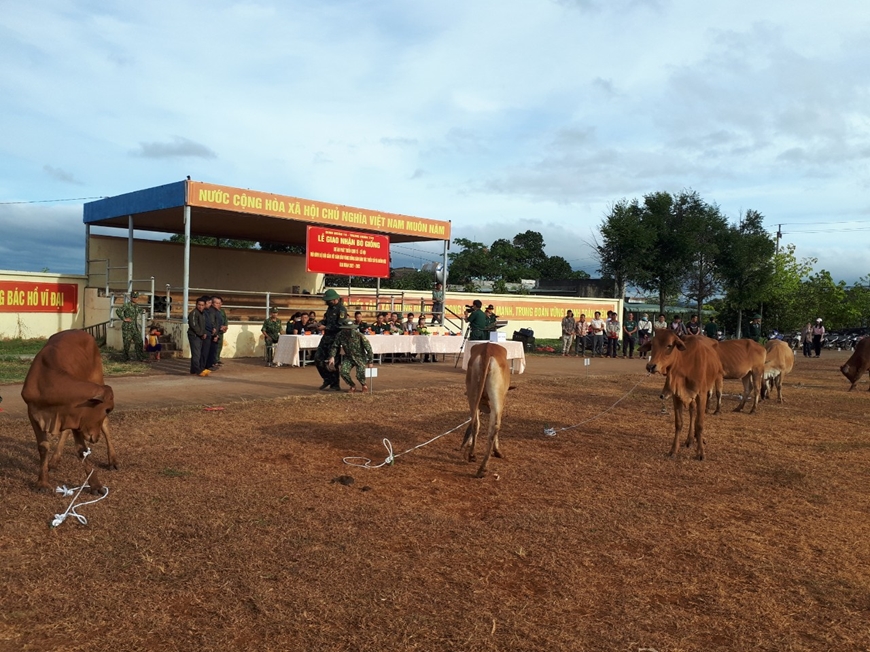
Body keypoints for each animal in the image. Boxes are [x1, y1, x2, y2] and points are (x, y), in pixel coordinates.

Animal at [21, 332, 116, 494]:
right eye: (107, 409)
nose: (95, 438)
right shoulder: (33, 412)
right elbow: (43, 446)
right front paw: (42, 482)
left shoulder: (77, 418)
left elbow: (82, 450)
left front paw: (96, 485)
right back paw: (54, 461)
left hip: (97, 376)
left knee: (105, 424)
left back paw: (113, 460)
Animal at [460, 344, 516, 476]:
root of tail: (487, 349)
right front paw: (497, 451)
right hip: (497, 396)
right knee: (495, 426)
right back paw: (483, 465)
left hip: (473, 391)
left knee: (475, 423)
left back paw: (473, 457)